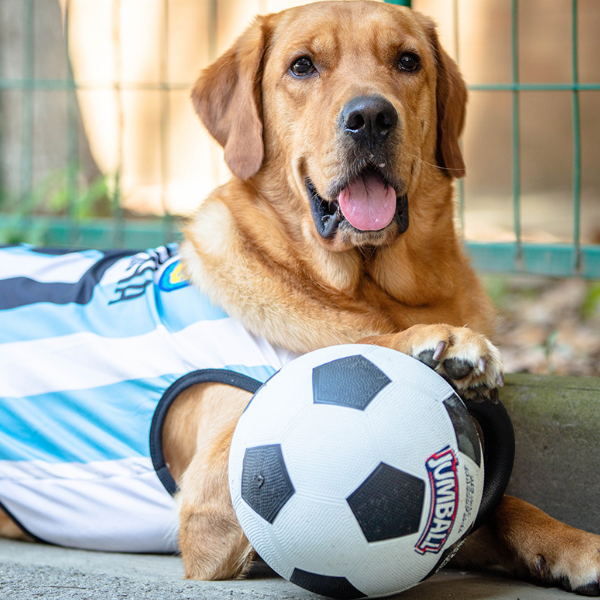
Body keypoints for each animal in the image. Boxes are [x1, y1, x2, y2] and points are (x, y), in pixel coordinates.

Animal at [1, 0, 600, 592]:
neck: (367, 288)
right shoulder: (210, 506)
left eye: (407, 61)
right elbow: (350, 348)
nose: (370, 117)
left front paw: (575, 546)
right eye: (302, 66)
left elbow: (505, 507)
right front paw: (438, 344)